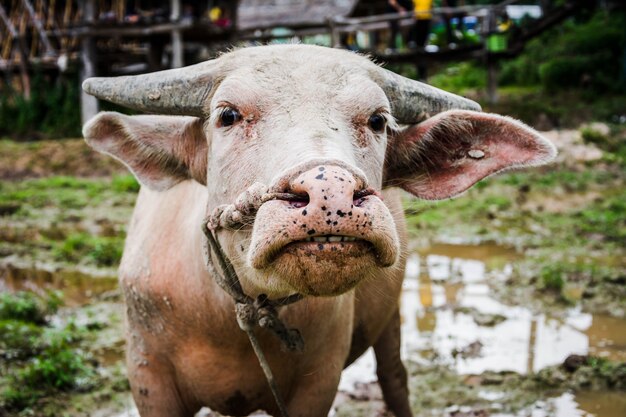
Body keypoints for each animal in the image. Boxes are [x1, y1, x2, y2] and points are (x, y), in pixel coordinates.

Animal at [80, 44, 552, 414]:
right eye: (227, 115)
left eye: (378, 121)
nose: (331, 193)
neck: (225, 319)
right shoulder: (148, 375)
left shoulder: (319, 382)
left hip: (392, 321)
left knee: (394, 380)